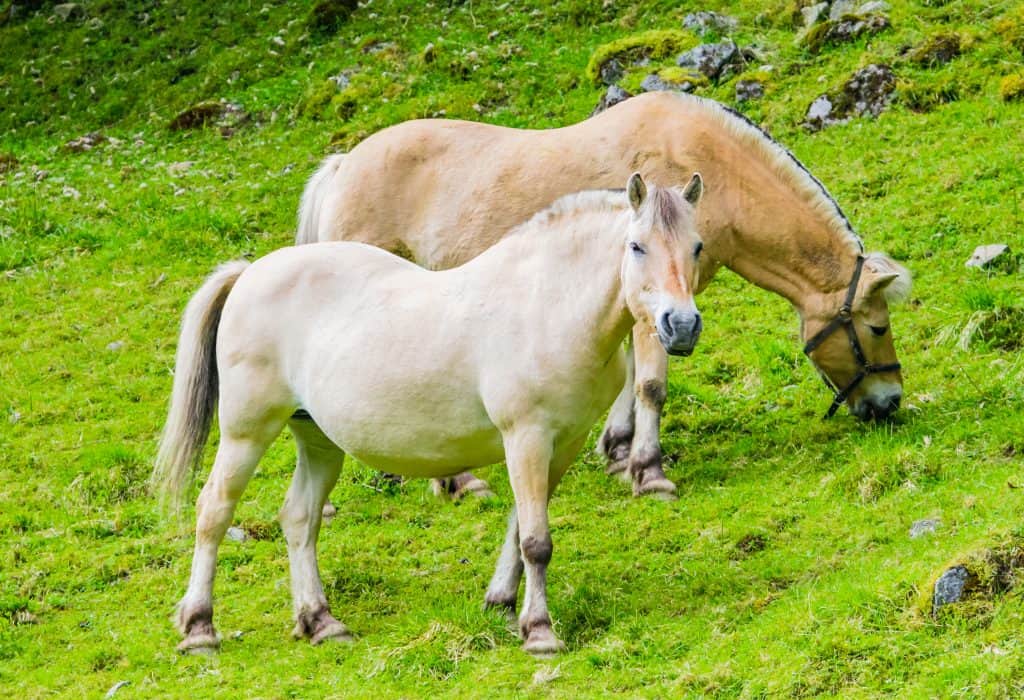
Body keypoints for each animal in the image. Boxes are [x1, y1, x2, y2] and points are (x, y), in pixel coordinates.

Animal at [155, 174, 706, 656]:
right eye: (637, 246)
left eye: (697, 246)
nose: (680, 325)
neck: (546, 305)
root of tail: (250, 272)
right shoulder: (526, 438)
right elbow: (536, 540)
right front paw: (540, 631)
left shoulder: (560, 445)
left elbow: (519, 528)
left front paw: (502, 603)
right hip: (246, 434)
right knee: (214, 511)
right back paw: (200, 628)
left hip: (319, 441)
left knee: (299, 518)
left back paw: (321, 621)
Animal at [297, 91, 912, 501]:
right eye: (878, 328)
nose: (889, 404)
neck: (708, 170)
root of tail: (341, 167)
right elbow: (651, 383)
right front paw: (649, 470)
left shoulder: (653, 309)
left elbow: (630, 377)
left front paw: (618, 451)